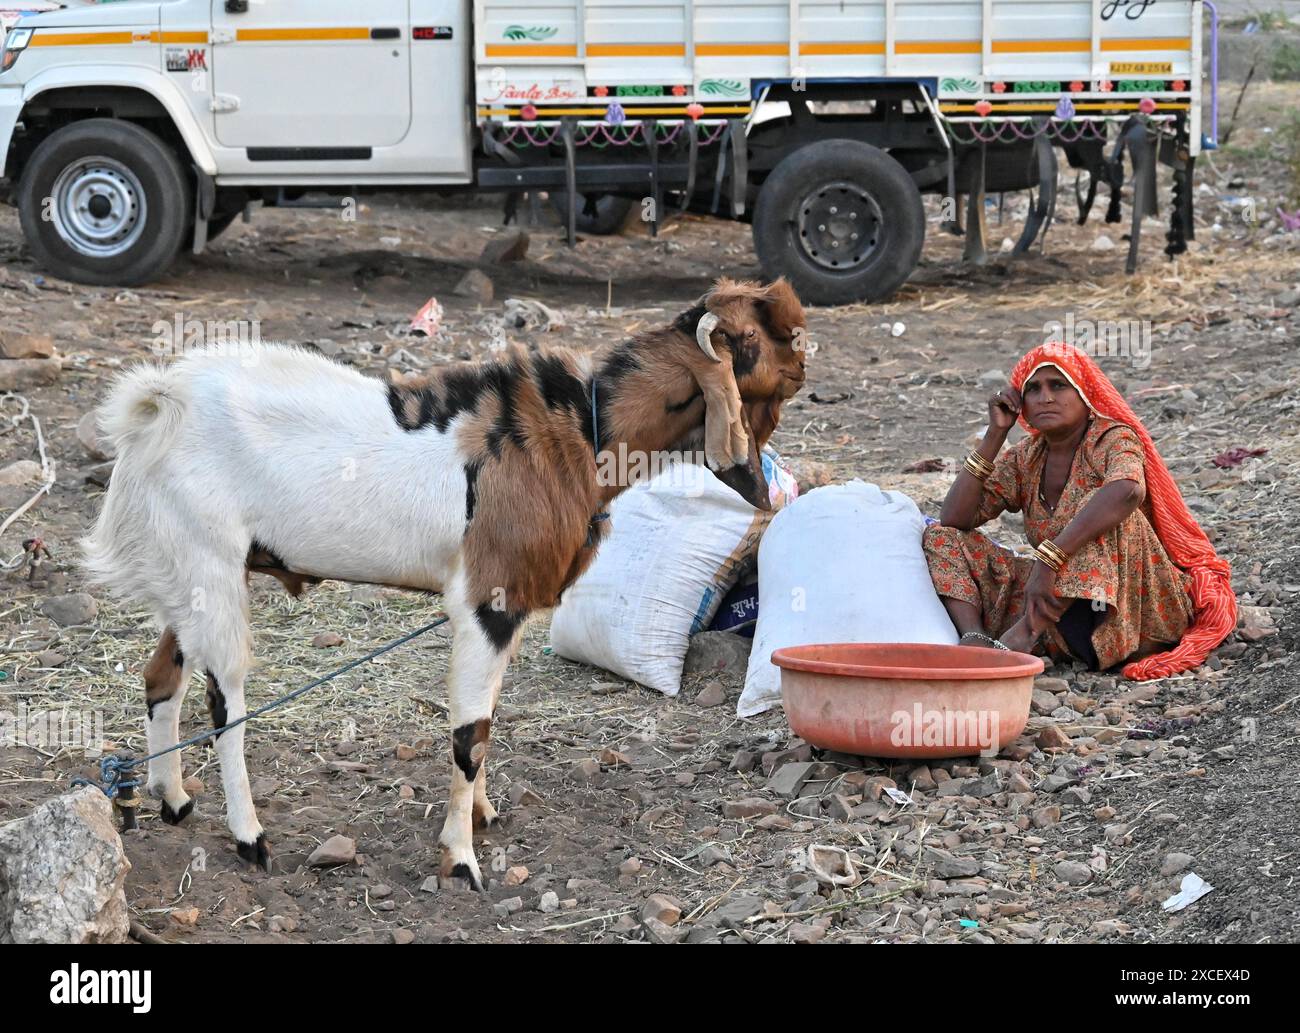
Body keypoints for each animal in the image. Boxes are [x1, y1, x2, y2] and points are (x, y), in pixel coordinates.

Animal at [83, 276, 800, 888]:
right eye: (757, 338)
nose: (802, 363)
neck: (579, 429)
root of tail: (158, 405)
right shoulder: (488, 603)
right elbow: (469, 734)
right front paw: (461, 857)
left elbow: (487, 716)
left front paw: (482, 815)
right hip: (211, 567)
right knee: (226, 701)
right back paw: (249, 837)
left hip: (189, 573)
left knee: (162, 675)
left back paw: (173, 798)